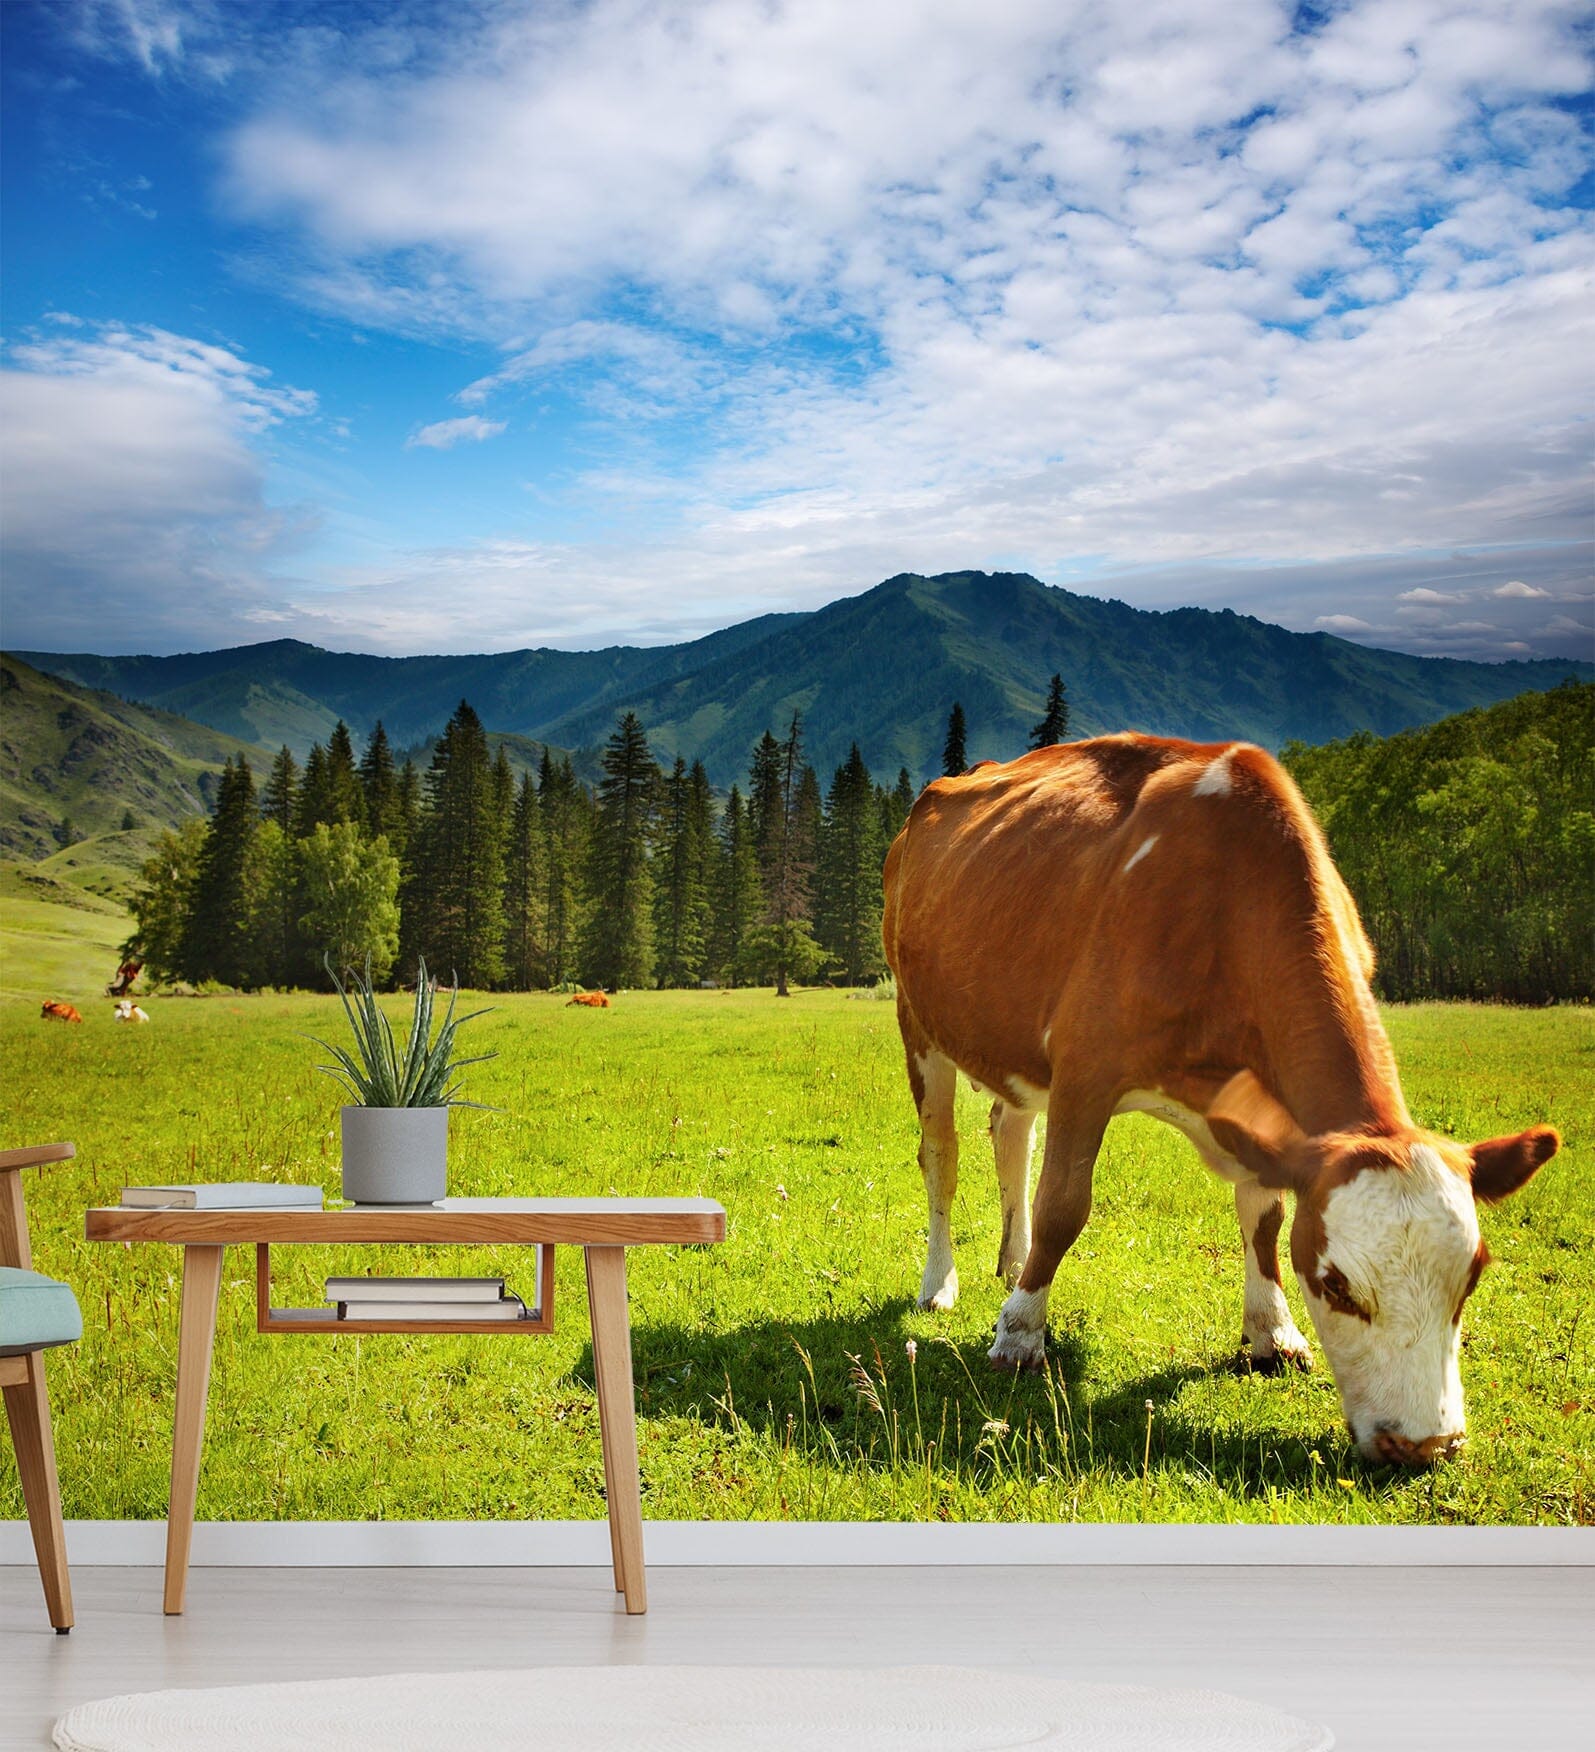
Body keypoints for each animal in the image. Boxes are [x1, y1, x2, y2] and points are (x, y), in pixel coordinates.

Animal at [882, 734, 1559, 1467]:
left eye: (1473, 1274)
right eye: (1335, 1283)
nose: (1424, 1443)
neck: (1225, 911)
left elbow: (1264, 1217)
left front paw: (1273, 1332)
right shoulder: (1084, 1065)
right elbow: (1062, 1204)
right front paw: (1019, 1334)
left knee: (1011, 1133)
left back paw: (1011, 1261)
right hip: (918, 1020)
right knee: (941, 1157)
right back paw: (940, 1284)